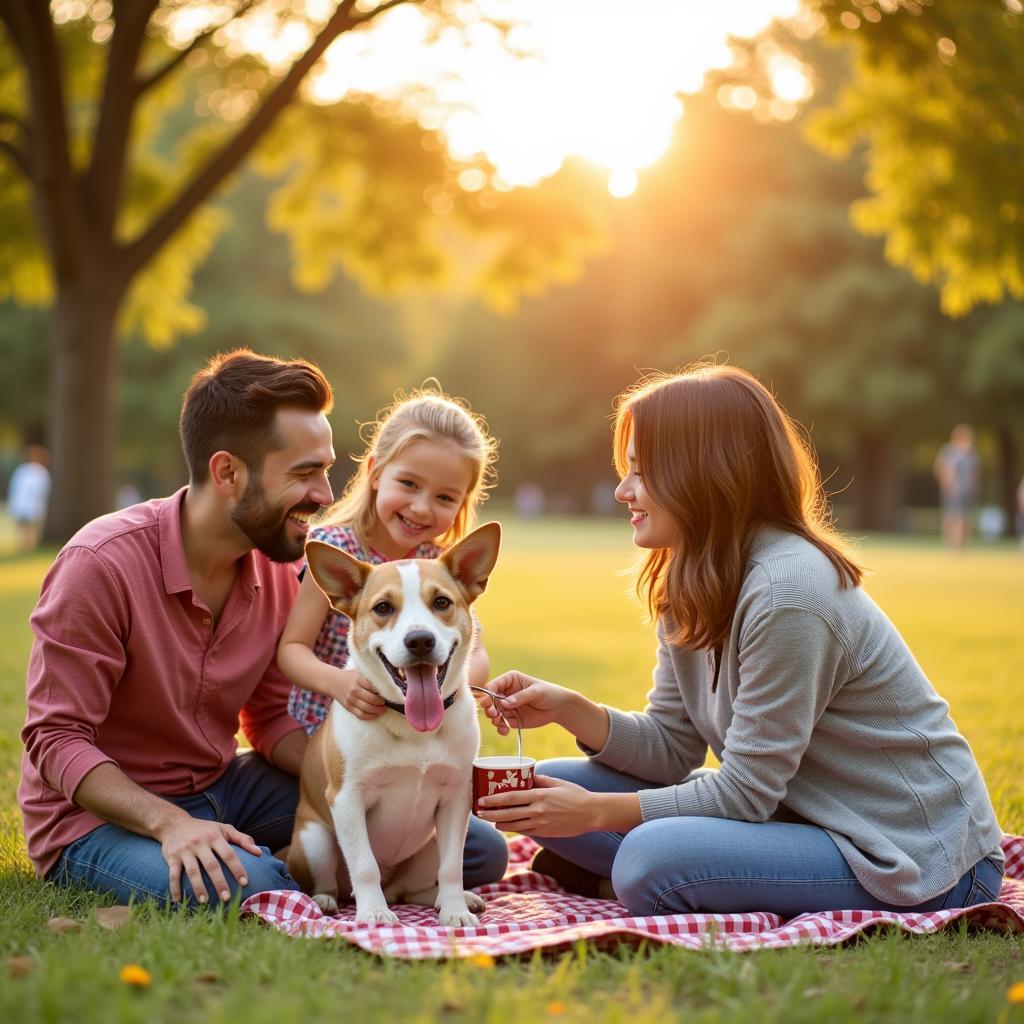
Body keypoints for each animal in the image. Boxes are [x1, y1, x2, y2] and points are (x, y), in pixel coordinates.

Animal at [286, 524, 501, 925]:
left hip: (427, 845)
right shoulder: (347, 799)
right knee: (335, 881)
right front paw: (373, 914)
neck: (409, 724)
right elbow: (364, 864)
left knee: (415, 889)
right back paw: (327, 900)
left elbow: (452, 866)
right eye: (383, 608)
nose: (419, 640)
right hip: (315, 839)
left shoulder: (455, 797)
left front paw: (455, 910)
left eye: (442, 602)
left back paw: (448, 898)